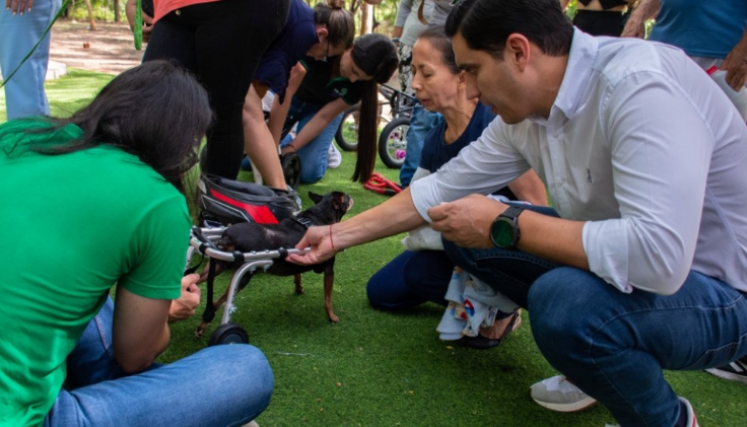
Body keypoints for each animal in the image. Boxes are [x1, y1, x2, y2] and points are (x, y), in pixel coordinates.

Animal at [196, 191, 354, 338]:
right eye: (347, 198)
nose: (352, 196)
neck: (320, 215)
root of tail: (226, 237)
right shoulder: (329, 270)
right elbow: (328, 299)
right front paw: (332, 317)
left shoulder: (295, 258)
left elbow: (297, 275)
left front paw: (298, 288)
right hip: (243, 276)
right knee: (215, 303)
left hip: (215, 266)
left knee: (194, 281)